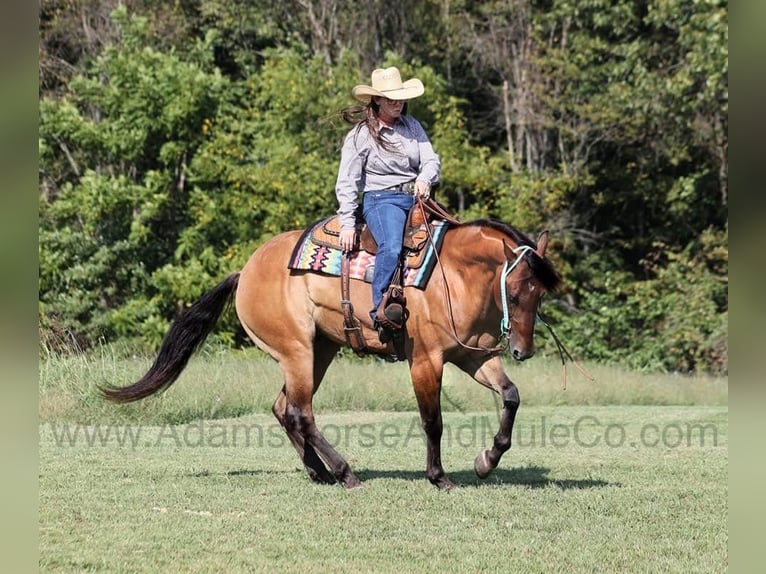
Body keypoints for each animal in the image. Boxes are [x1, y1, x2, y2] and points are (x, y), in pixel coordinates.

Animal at [103, 219, 560, 489]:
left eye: (540, 293)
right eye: (515, 289)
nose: (522, 350)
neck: (453, 275)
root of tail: (245, 271)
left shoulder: (474, 356)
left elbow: (510, 396)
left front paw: (487, 460)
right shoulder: (426, 361)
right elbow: (433, 422)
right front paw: (439, 477)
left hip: (318, 351)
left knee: (284, 409)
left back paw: (319, 472)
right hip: (298, 352)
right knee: (301, 413)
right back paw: (344, 472)